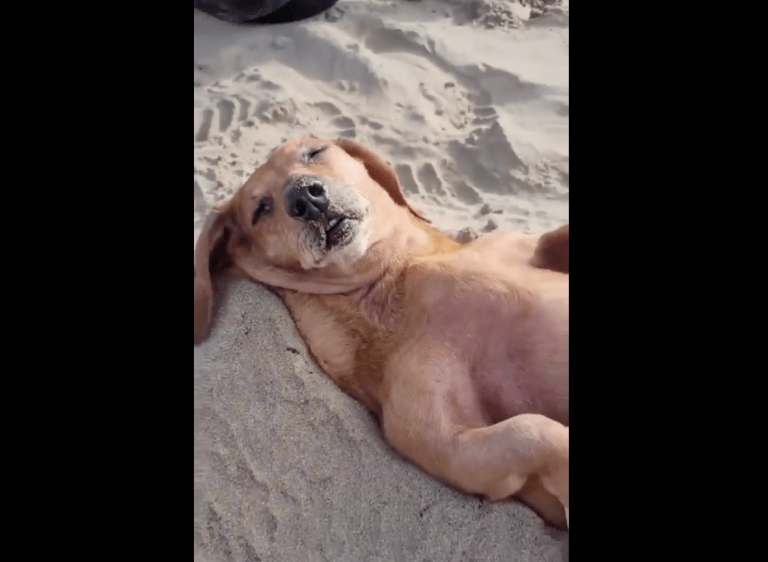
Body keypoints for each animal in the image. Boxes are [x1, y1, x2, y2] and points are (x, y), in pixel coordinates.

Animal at [194, 137, 569, 529]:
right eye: (260, 210)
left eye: (314, 152)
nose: (305, 197)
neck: (394, 277)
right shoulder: (452, 450)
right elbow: (531, 431)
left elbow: (554, 237)